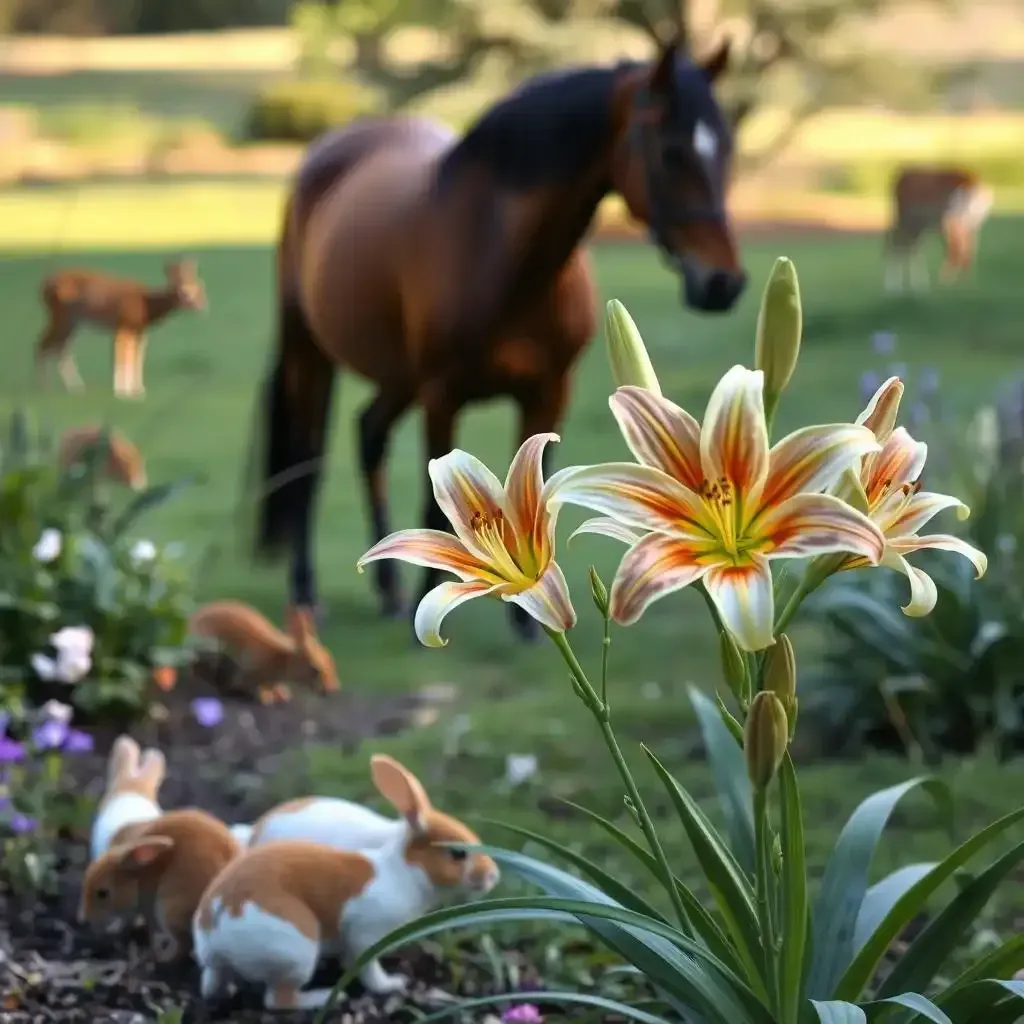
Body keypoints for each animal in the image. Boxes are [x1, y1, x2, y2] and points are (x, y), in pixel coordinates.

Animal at [34, 258, 205, 397]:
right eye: (182, 290)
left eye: (199, 286)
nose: (200, 306)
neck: (147, 306)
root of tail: (43, 284)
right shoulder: (123, 327)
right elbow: (122, 356)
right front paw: (122, 392)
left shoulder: (139, 332)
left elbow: (136, 357)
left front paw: (138, 390)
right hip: (60, 316)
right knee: (44, 344)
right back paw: (43, 388)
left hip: (71, 322)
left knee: (58, 346)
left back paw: (73, 388)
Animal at [77, 806, 239, 958]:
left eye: (103, 894)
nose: (85, 920)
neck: (138, 876)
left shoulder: (148, 908)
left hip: (167, 911)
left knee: (182, 946)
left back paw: (159, 956)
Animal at [188, 598, 339, 704]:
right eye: (315, 670)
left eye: (331, 660)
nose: (332, 690)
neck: (281, 657)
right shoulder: (249, 668)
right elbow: (254, 684)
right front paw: (265, 696)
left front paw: (281, 693)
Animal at [192, 757, 499, 1011]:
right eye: (458, 853)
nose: (493, 876)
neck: (401, 871)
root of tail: (215, 927)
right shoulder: (365, 935)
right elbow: (369, 969)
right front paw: (391, 985)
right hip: (295, 951)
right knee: (277, 1000)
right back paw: (326, 997)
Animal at [247, 37, 745, 638]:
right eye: (671, 151)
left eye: (727, 147)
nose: (723, 283)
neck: (502, 255)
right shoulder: (442, 396)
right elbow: (434, 507)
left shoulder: (549, 392)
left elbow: (538, 492)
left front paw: (530, 620)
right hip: (311, 354)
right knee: (307, 463)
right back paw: (306, 593)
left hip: (398, 376)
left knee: (369, 435)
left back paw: (389, 591)